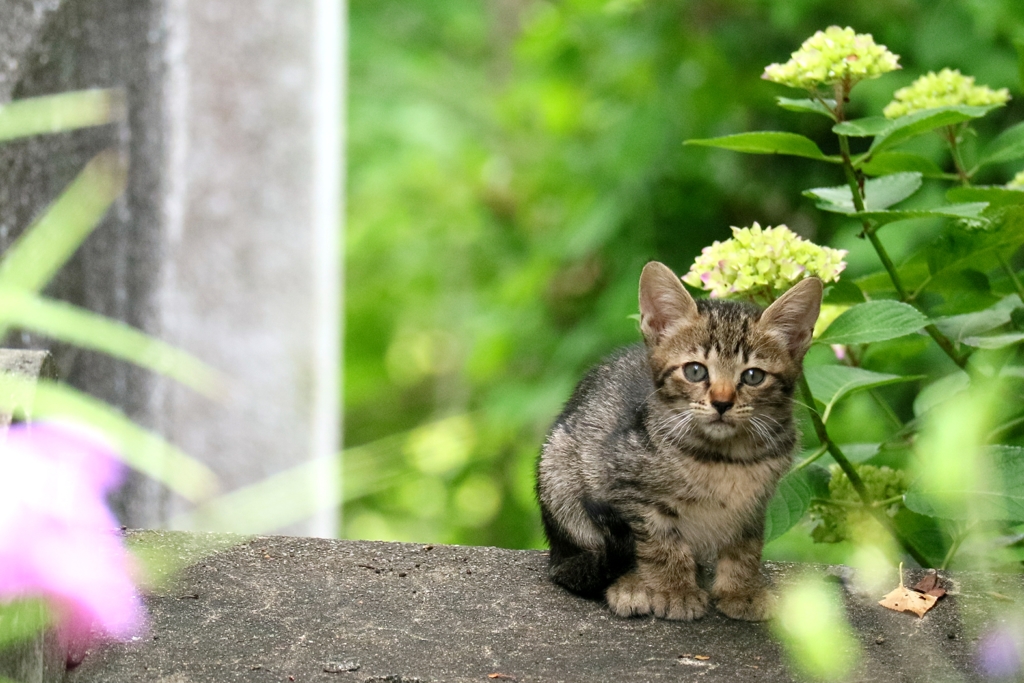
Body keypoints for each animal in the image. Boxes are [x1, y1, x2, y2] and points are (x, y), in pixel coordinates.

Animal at [536, 260, 823, 618]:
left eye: (753, 376)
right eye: (695, 371)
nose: (722, 403)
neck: (725, 457)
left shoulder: (754, 506)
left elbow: (745, 548)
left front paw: (740, 591)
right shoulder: (632, 490)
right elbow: (660, 545)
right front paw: (675, 590)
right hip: (559, 475)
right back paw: (631, 585)